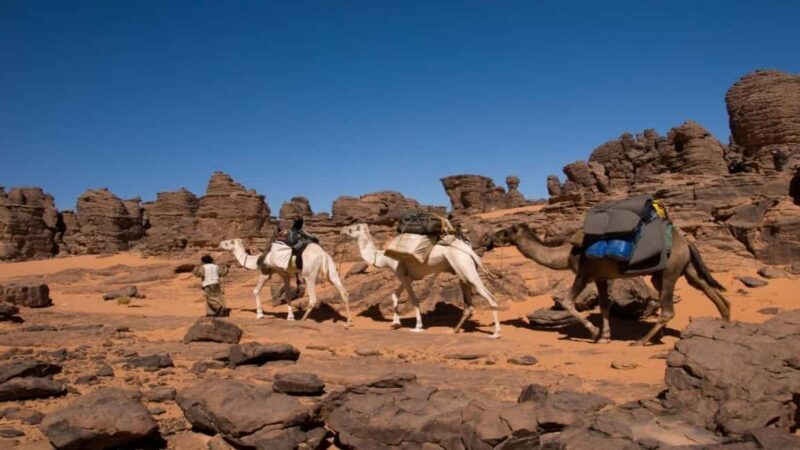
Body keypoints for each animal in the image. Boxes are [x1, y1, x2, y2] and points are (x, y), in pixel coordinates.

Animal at [218, 238, 352, 326]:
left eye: (229, 242)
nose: (219, 244)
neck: (257, 259)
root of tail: (322, 254)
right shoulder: (285, 274)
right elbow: (287, 295)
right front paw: (290, 317)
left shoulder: (267, 272)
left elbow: (255, 290)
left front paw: (260, 315)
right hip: (331, 270)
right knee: (344, 293)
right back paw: (348, 321)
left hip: (309, 274)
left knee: (313, 299)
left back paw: (303, 319)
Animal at [340, 223, 502, 338]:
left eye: (352, 228)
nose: (342, 231)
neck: (382, 258)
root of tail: (469, 249)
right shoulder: (405, 276)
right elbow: (395, 295)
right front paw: (396, 323)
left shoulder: (401, 273)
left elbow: (414, 300)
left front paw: (417, 327)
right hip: (463, 269)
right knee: (469, 305)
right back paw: (453, 331)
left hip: (464, 265)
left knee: (491, 298)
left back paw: (496, 334)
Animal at [493, 223, 730, 345]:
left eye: (506, 231)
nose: (491, 237)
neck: (565, 254)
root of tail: (687, 242)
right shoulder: (600, 277)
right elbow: (605, 306)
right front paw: (605, 337)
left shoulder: (583, 274)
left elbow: (568, 302)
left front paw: (594, 333)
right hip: (686, 268)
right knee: (710, 290)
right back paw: (725, 323)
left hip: (668, 272)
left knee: (668, 310)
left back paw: (641, 341)